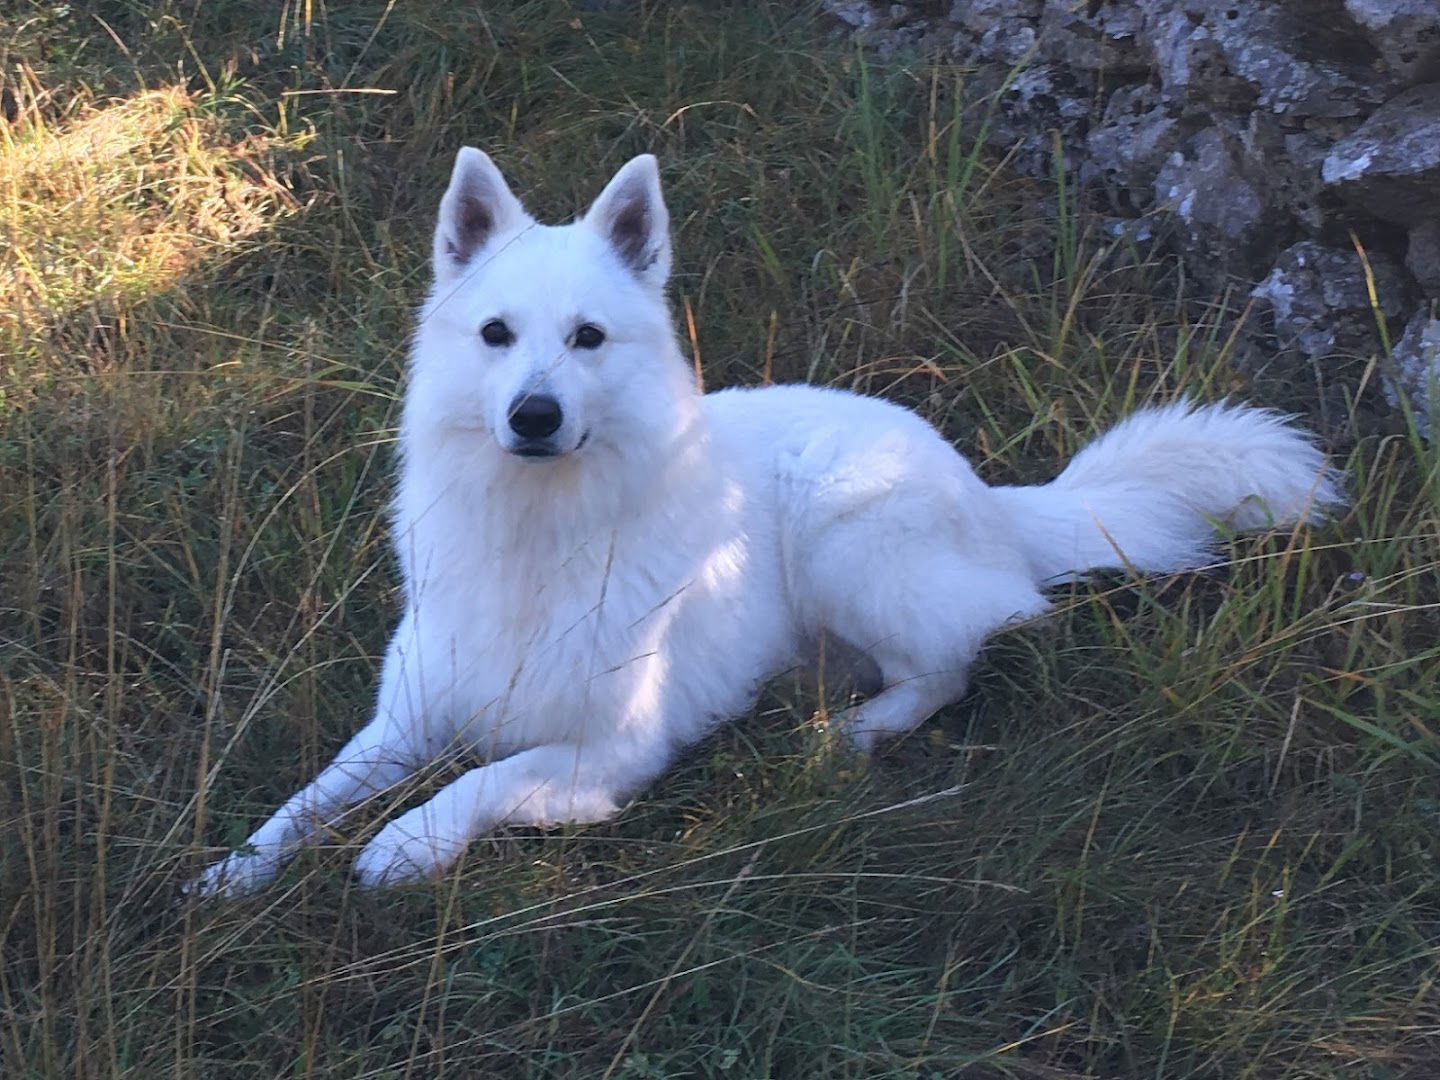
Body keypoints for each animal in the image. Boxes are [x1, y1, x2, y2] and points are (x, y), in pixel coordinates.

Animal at [188, 152, 1336, 898]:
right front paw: (237, 869)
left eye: (588, 339)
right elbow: (312, 796)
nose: (534, 417)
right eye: (497, 335)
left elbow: (482, 778)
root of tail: (991, 493)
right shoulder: (403, 722)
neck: (539, 532)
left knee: (955, 663)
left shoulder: (610, 753)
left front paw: (407, 846)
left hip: (842, 538)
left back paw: (850, 734)